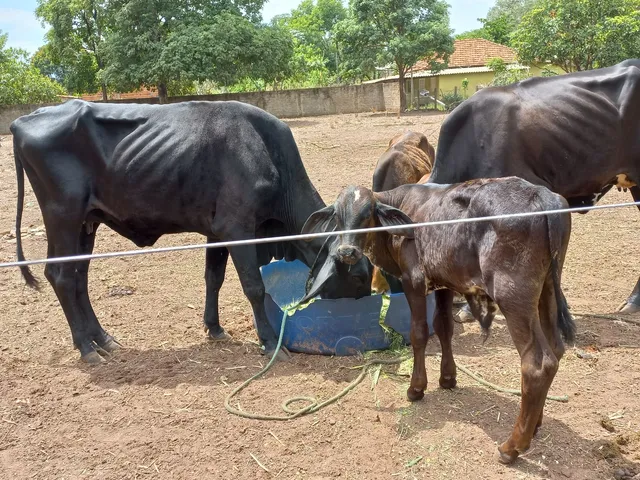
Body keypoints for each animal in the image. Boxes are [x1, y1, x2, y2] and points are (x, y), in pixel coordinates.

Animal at [11, 99, 372, 365]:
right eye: (359, 276)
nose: (363, 309)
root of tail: (23, 120)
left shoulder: (218, 230)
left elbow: (214, 277)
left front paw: (214, 328)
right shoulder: (238, 227)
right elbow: (253, 286)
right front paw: (270, 342)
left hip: (87, 223)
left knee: (78, 278)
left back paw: (102, 340)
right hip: (63, 215)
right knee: (60, 276)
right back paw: (86, 349)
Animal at [302, 177, 575, 464]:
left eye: (367, 214)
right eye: (338, 216)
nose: (347, 251)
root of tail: (542, 195)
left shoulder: (413, 281)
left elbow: (419, 333)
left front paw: (416, 388)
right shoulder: (445, 283)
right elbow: (444, 328)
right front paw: (447, 378)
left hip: (514, 296)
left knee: (538, 364)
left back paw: (512, 446)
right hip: (547, 287)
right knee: (556, 348)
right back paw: (535, 423)